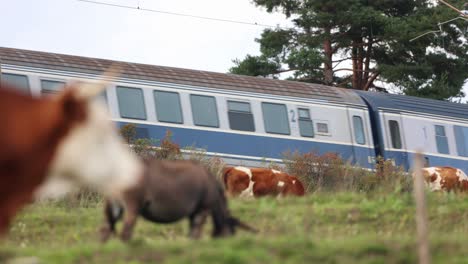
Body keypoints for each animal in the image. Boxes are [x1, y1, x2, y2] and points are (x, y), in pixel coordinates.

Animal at [100, 158, 258, 242]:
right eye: (232, 232)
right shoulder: (202, 210)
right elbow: (195, 235)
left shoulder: (193, 213)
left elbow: (191, 235)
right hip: (131, 207)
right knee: (125, 233)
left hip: (113, 209)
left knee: (105, 232)